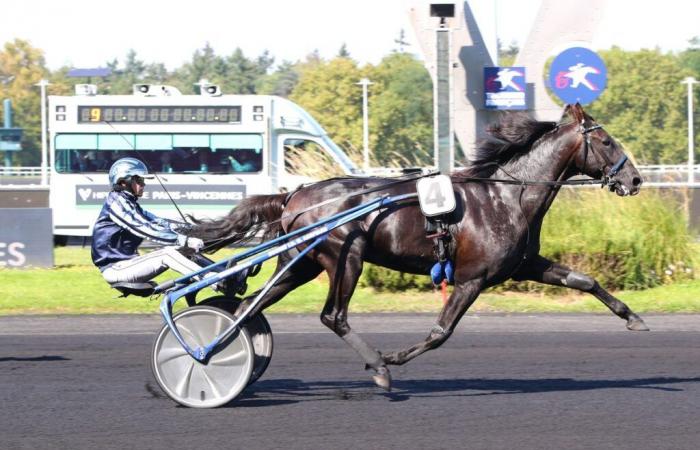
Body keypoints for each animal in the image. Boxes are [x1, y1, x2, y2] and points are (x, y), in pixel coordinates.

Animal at [190, 104, 644, 390]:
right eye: (606, 141)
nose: (635, 179)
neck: (506, 195)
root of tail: (294, 195)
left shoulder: (524, 264)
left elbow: (583, 280)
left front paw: (633, 317)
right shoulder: (472, 279)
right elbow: (441, 331)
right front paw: (390, 359)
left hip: (300, 263)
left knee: (249, 309)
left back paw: (216, 349)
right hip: (344, 258)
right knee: (332, 316)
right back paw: (377, 367)